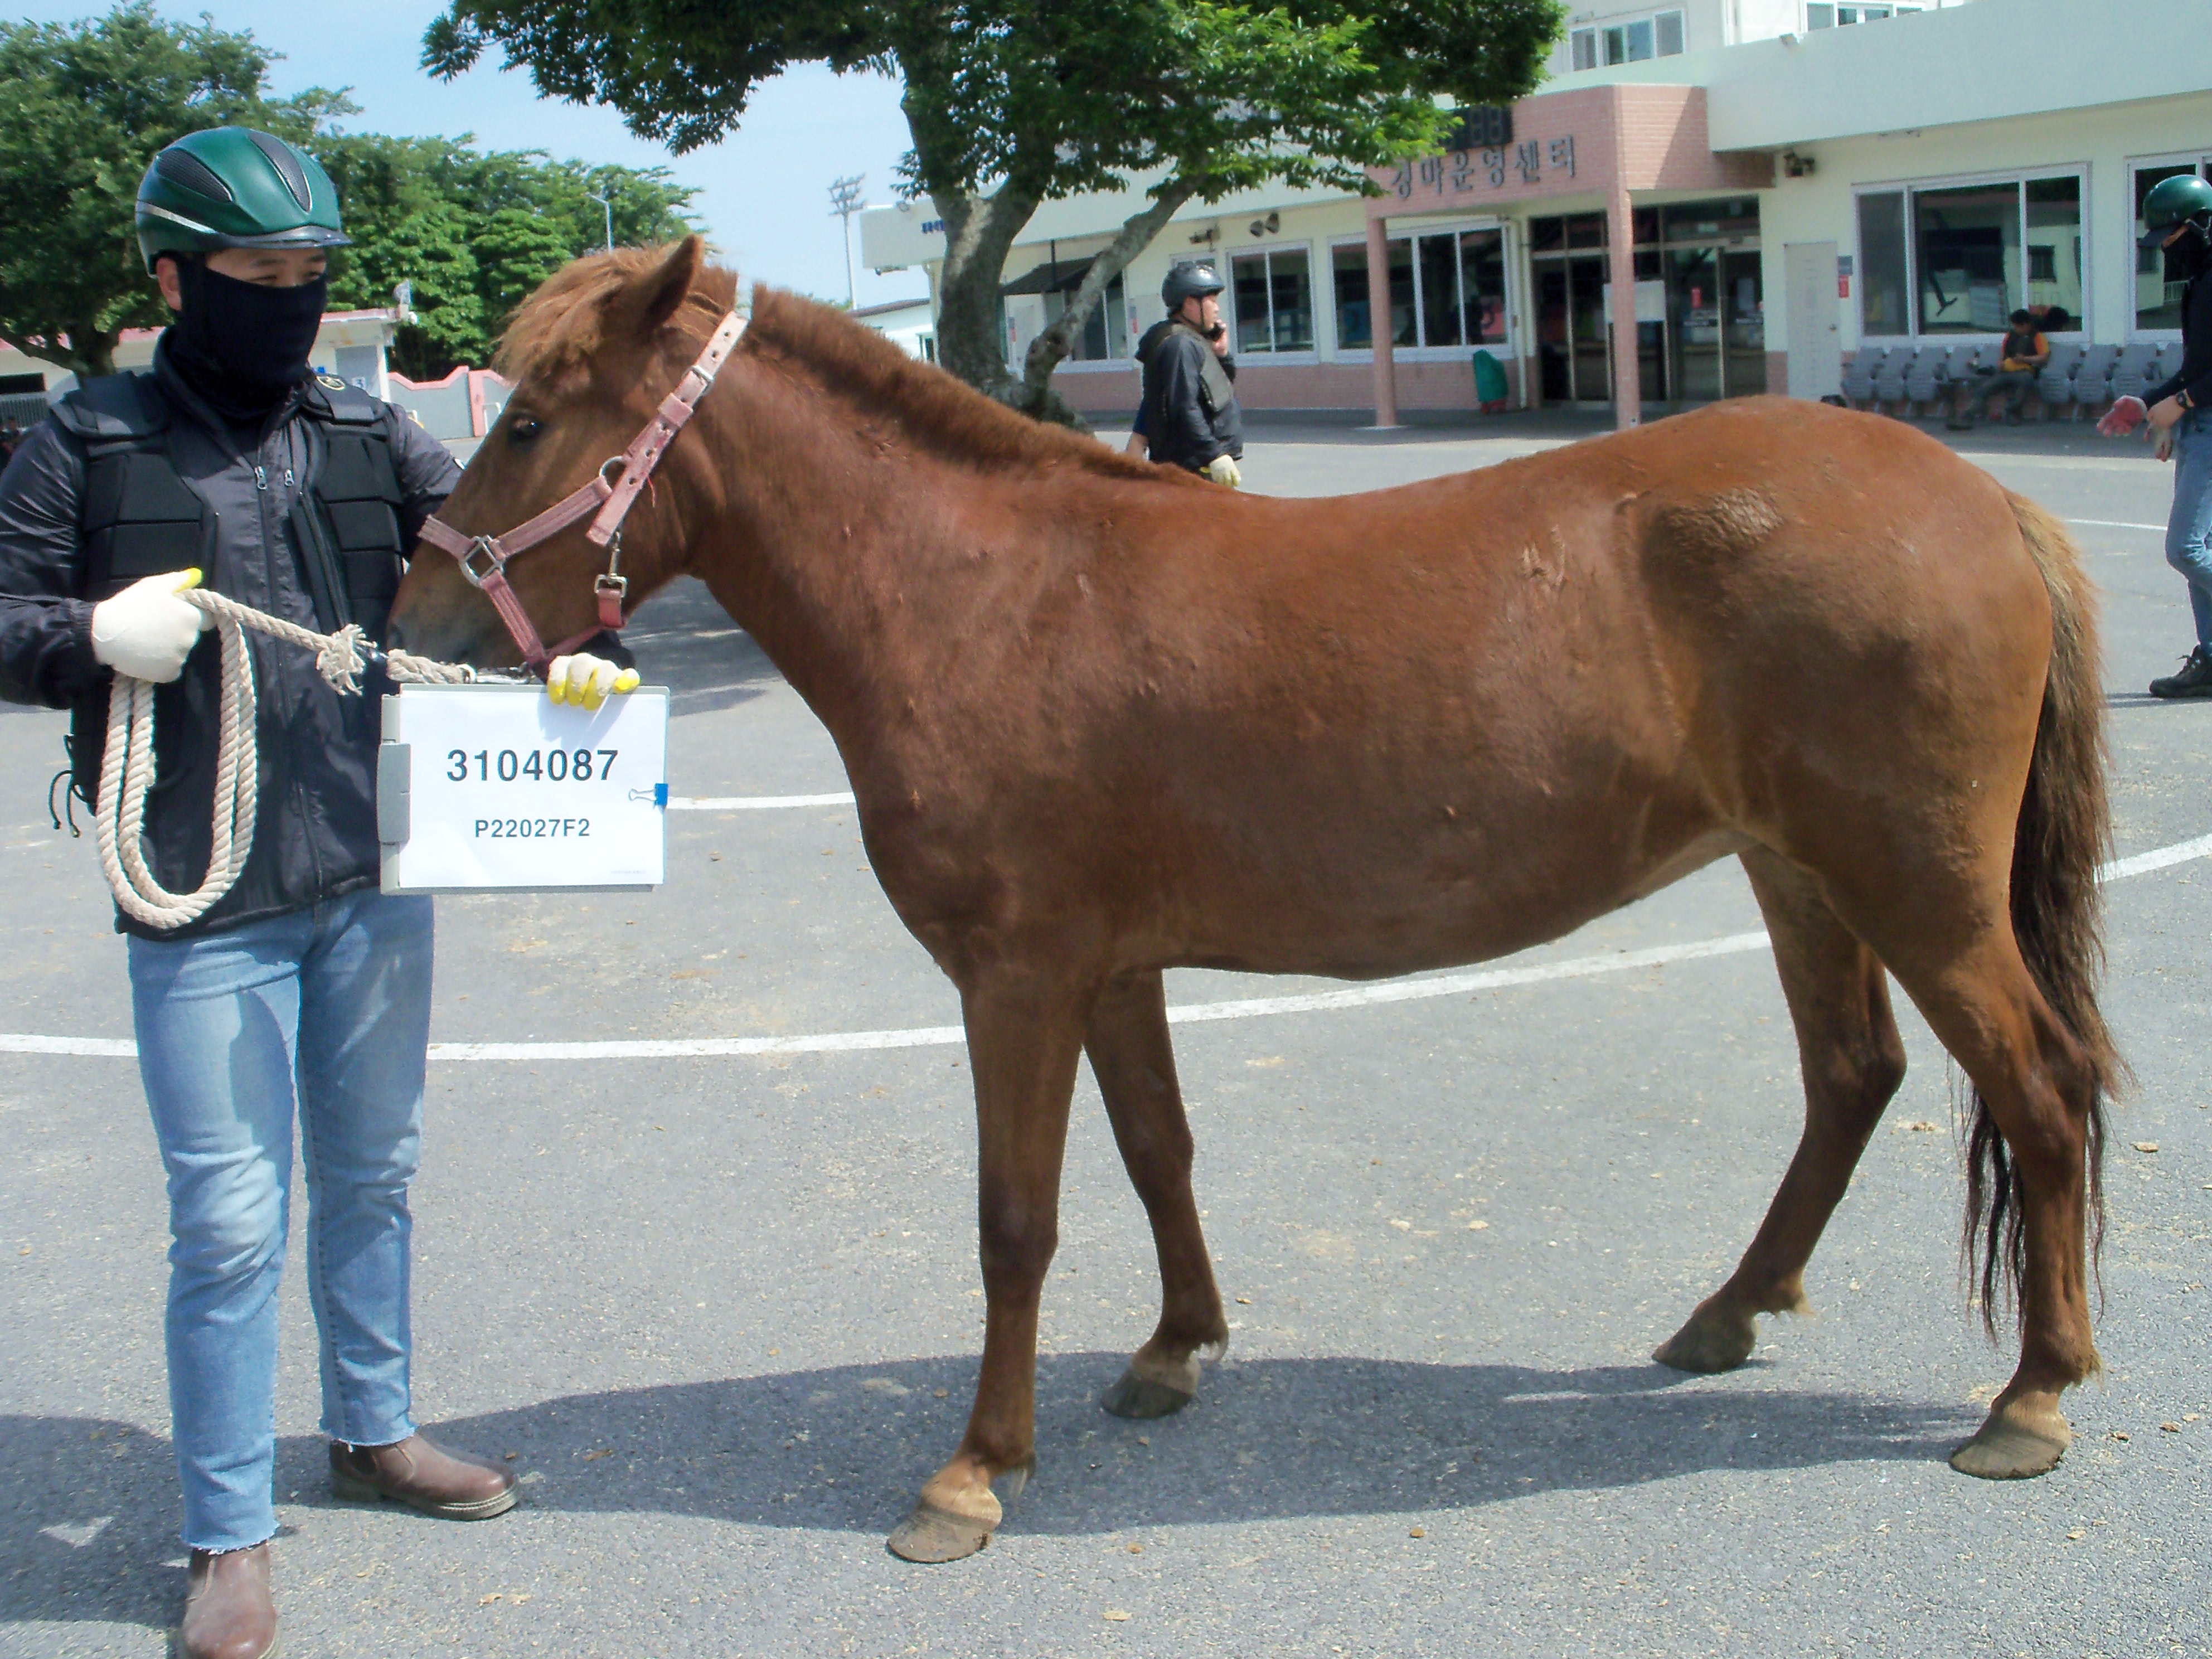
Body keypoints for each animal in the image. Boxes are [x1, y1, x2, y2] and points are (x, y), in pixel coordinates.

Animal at [389, 240, 2114, 1566]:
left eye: (529, 419)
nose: (412, 618)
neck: (985, 593)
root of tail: (1981, 497)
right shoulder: (1109, 968)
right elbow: (1158, 1153)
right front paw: (1172, 1351)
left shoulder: (1015, 976)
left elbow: (1014, 1219)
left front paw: (971, 1473)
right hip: (1799, 871)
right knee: (1852, 1076)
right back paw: (1729, 1313)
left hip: (1916, 889)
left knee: (2041, 1091)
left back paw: (2030, 1395)